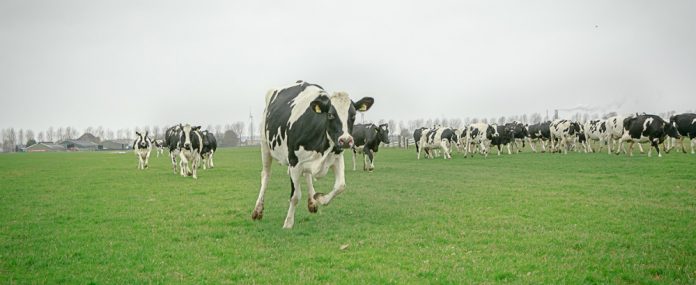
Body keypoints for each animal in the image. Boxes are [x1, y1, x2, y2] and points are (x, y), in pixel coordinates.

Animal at [251, 80, 376, 229]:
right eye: (330, 115)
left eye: (353, 116)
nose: (346, 140)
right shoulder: (294, 163)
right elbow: (295, 196)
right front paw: (288, 223)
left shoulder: (336, 158)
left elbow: (340, 186)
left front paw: (320, 199)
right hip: (264, 145)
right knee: (266, 175)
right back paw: (257, 210)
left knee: (307, 175)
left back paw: (312, 202)